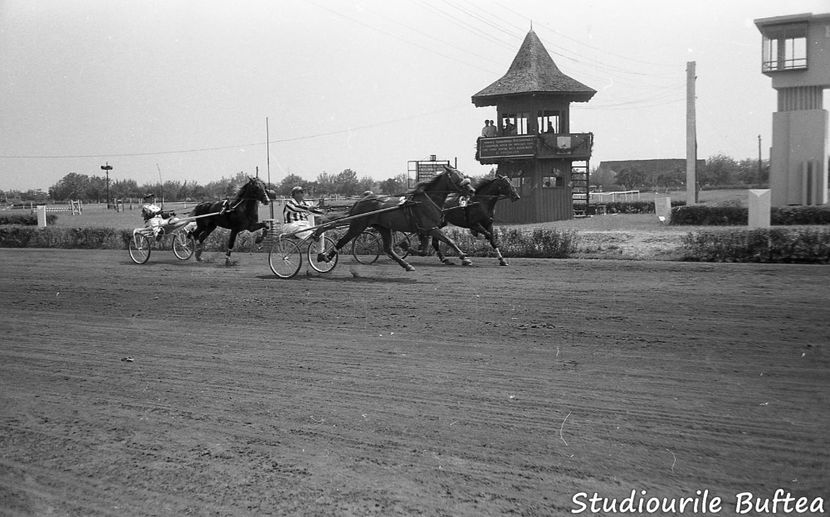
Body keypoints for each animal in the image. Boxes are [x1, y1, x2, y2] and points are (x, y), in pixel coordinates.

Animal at [322, 165, 478, 272]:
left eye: (463, 175)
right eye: (457, 177)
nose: (472, 190)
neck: (426, 201)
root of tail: (361, 200)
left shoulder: (426, 230)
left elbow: (425, 250)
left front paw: (406, 247)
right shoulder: (431, 228)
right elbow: (450, 241)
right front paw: (465, 258)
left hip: (383, 227)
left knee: (388, 248)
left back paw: (407, 265)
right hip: (358, 225)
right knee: (342, 241)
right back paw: (324, 256)